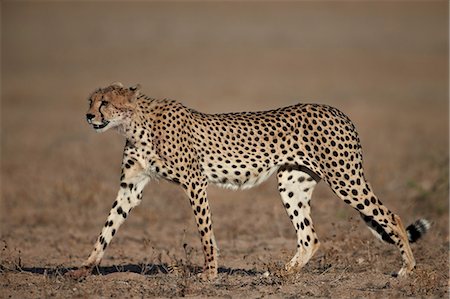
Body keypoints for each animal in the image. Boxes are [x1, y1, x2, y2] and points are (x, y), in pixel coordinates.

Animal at [73, 82, 428, 282]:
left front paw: (210, 273)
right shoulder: (131, 188)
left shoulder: (195, 182)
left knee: (392, 215)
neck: (134, 123)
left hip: (345, 178)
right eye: (89, 101)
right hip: (291, 183)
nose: (89, 116)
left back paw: (407, 269)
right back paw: (280, 274)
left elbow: (205, 234)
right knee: (309, 237)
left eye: (104, 102)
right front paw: (84, 269)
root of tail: (338, 111)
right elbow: (107, 229)